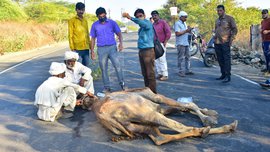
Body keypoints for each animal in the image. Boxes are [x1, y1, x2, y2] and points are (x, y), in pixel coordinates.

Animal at [79, 87, 236, 145]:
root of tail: (106, 117)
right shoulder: (154, 99)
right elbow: (189, 105)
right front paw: (209, 117)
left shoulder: (158, 107)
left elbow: (183, 107)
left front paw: (209, 113)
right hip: (149, 114)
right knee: (180, 127)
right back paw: (209, 129)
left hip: (138, 125)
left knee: (160, 138)